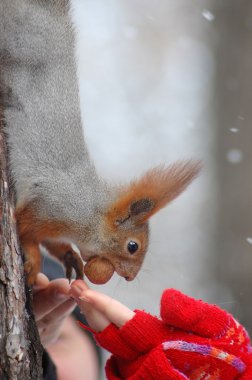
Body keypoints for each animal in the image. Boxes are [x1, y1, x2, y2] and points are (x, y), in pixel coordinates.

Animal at [0, 0, 201, 284]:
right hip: (20, 43)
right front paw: (35, 261)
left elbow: (52, 242)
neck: (91, 215)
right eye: (132, 246)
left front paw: (69, 255)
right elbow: (25, 230)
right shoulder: (48, 208)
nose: (130, 278)